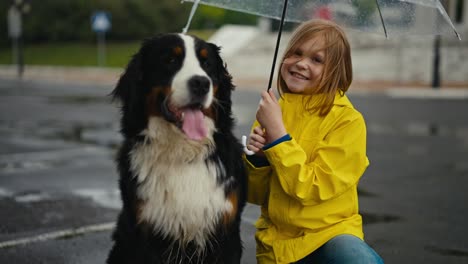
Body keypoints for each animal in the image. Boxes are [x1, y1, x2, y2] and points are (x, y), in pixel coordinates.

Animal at [108, 33, 249, 264]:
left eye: (206, 64)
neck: (182, 152)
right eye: (171, 60)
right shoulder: (146, 234)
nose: (201, 83)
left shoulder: (226, 232)